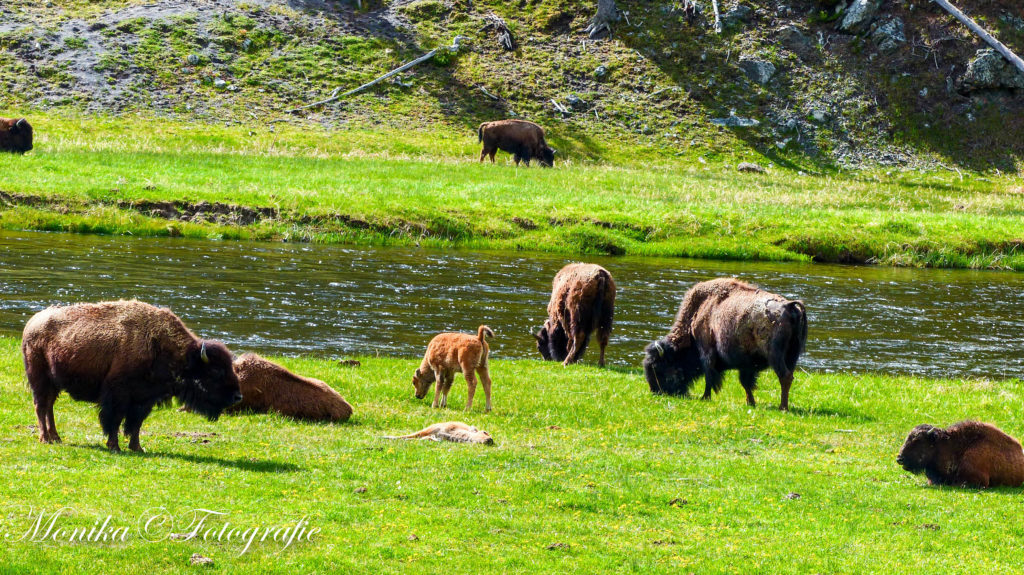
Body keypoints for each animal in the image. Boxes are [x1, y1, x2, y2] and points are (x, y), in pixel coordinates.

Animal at [20, 296, 244, 450]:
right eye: (215, 371)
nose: (237, 396)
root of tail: (31, 324)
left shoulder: (145, 398)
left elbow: (136, 423)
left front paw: (137, 447)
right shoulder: (119, 394)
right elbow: (115, 419)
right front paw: (115, 446)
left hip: (54, 383)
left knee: (49, 407)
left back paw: (56, 437)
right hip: (40, 379)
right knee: (41, 406)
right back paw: (45, 438)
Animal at [638, 276, 806, 407]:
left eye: (657, 367)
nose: (656, 391)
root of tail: (789, 306)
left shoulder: (707, 352)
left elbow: (709, 376)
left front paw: (705, 397)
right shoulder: (746, 364)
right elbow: (745, 383)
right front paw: (750, 402)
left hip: (775, 356)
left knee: (784, 376)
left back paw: (783, 407)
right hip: (792, 356)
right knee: (788, 376)